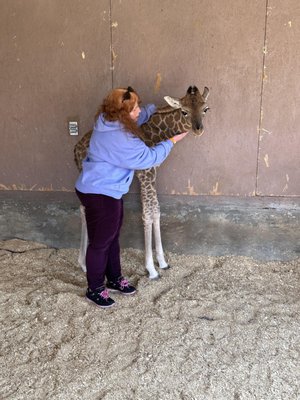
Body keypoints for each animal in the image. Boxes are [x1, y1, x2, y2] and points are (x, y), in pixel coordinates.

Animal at [74, 85, 210, 278]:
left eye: (205, 109)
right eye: (184, 111)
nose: (199, 129)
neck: (161, 133)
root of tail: (75, 149)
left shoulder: (153, 171)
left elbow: (156, 210)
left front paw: (162, 262)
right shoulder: (145, 172)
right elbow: (147, 213)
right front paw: (151, 269)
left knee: (83, 208)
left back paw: (83, 263)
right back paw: (84, 263)